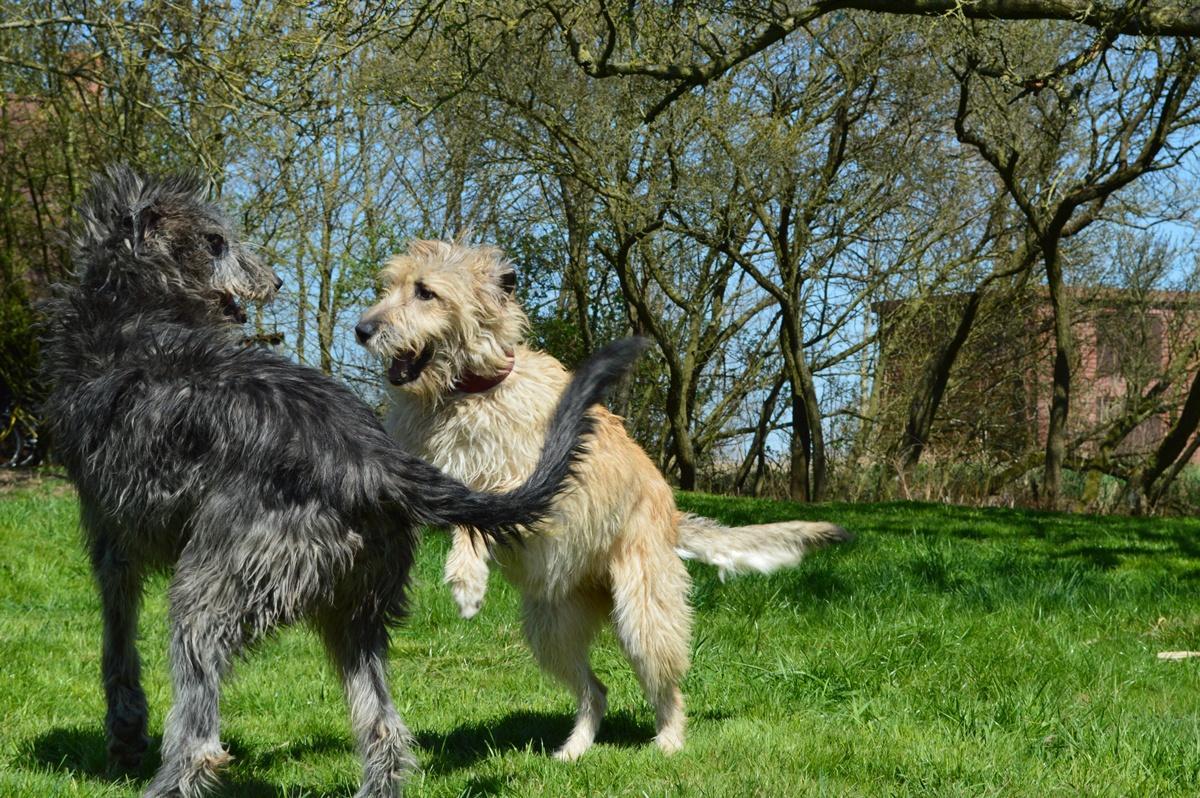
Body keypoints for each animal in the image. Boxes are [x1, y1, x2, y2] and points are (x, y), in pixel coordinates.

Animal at [42, 164, 648, 792]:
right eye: (216, 242)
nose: (274, 280)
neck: (130, 307)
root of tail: (370, 460)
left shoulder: (109, 536)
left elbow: (117, 646)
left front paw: (125, 734)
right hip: (355, 601)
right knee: (385, 730)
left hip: (217, 589)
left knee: (200, 737)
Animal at [350, 241, 849, 758]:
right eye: (389, 286)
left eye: (425, 292)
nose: (362, 330)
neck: (465, 395)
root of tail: (672, 520)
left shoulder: (532, 484)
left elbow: (480, 513)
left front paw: (467, 578)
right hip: (551, 626)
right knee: (595, 690)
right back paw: (574, 749)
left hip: (643, 615)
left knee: (668, 687)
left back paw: (669, 740)